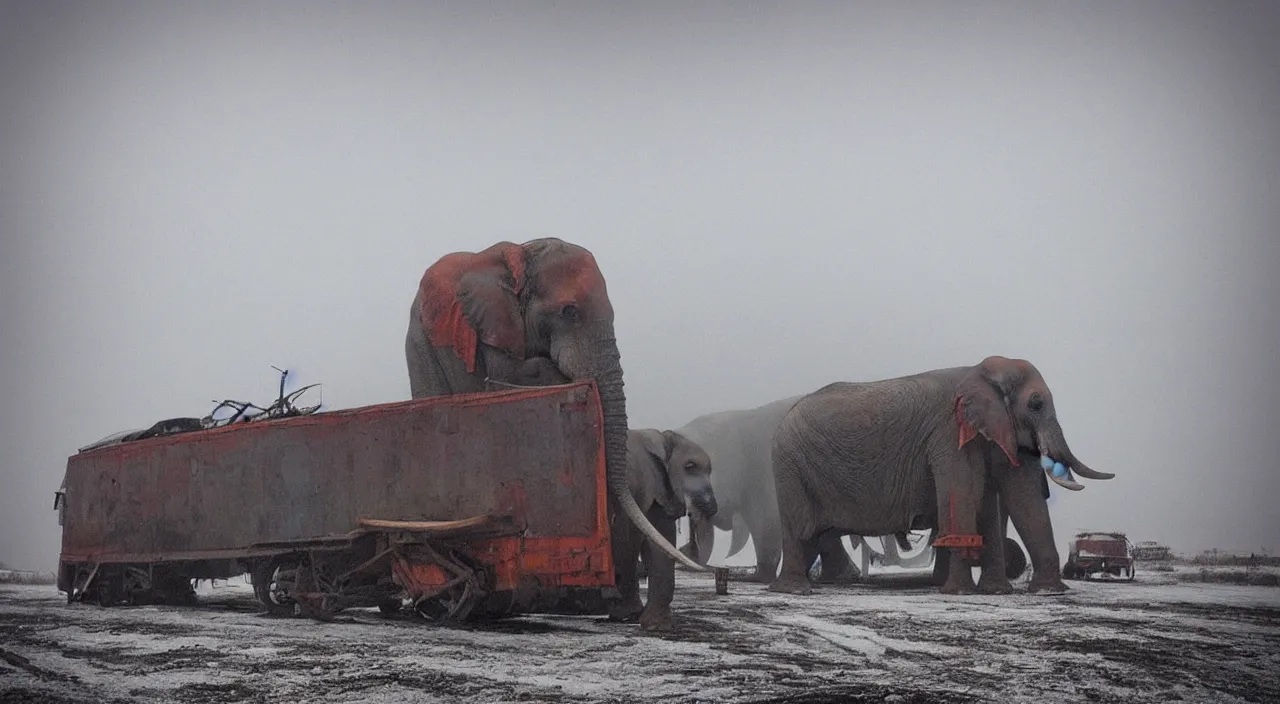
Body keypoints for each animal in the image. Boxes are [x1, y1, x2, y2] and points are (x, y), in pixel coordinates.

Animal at [604, 430, 716, 634]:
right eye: (690, 466)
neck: (662, 438)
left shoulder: (661, 489)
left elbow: (660, 538)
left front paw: (657, 626)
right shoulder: (639, 481)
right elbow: (630, 535)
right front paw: (627, 614)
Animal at [768, 355, 1111, 599]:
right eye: (1036, 404)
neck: (980, 371)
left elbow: (1004, 497)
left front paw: (1021, 592)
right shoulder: (948, 432)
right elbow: (964, 493)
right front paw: (960, 593)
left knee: (817, 533)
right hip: (789, 463)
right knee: (800, 528)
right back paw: (796, 590)